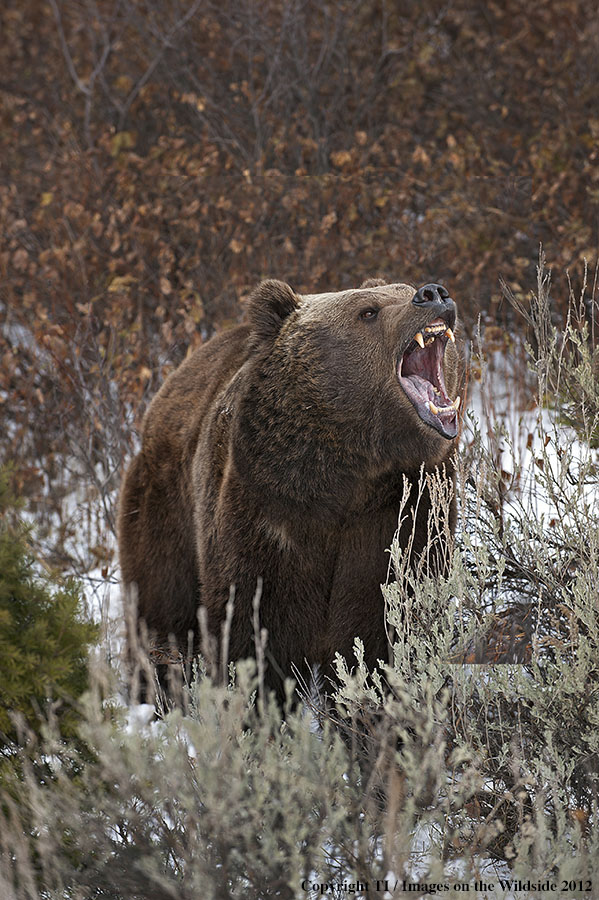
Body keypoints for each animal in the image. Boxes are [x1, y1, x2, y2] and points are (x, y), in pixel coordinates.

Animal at [119, 278, 462, 700]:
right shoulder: (266, 512)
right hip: (165, 513)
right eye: (368, 311)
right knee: (160, 615)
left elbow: (383, 632)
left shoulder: (404, 511)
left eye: (403, 288)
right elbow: (254, 635)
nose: (432, 293)